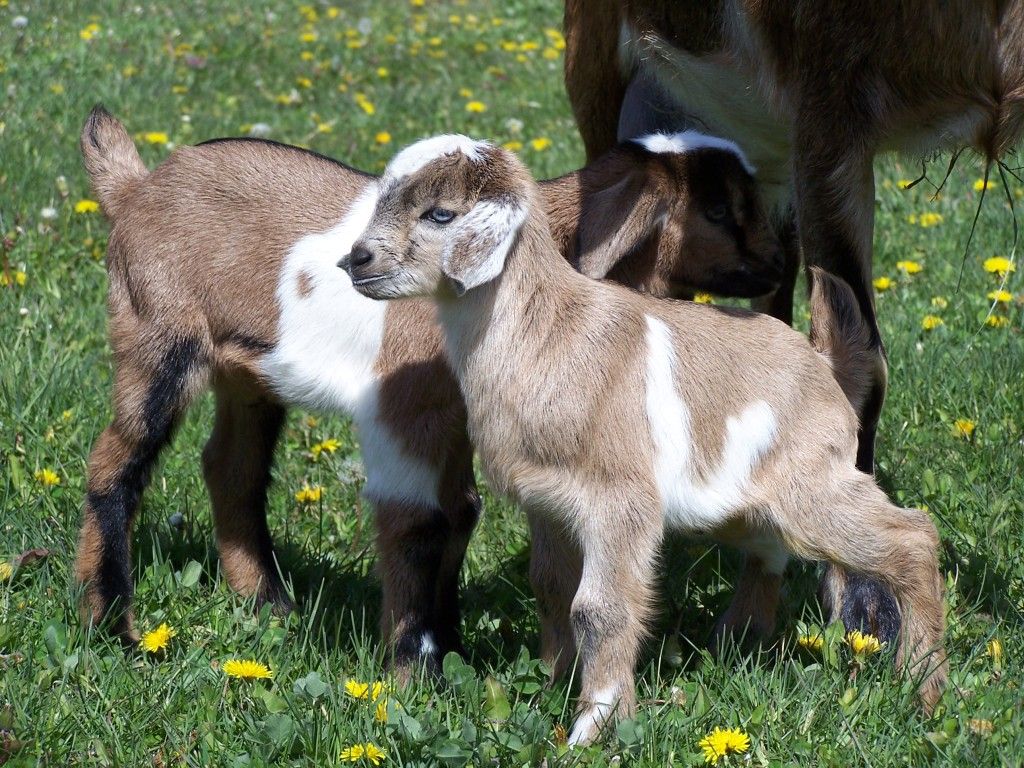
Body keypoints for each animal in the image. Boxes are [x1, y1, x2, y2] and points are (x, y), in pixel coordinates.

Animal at [74, 106, 781, 667]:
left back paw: (270, 604)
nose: (776, 265)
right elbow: (417, 520)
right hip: (155, 333)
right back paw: (112, 625)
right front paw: (416, 669)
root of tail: (135, 188)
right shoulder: (404, 410)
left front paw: (452, 647)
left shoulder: (457, 420)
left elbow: (460, 513)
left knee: (231, 468)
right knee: (116, 462)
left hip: (247, 372)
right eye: (718, 208)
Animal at [341, 136, 946, 744]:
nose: (355, 261)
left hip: (813, 483)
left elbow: (598, 609)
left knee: (911, 537)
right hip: (740, 501)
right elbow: (551, 586)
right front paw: (556, 682)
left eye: (440, 214)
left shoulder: (619, 498)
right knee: (771, 549)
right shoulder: (548, 501)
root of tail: (825, 367)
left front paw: (595, 725)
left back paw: (924, 691)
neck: (548, 332)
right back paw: (736, 643)